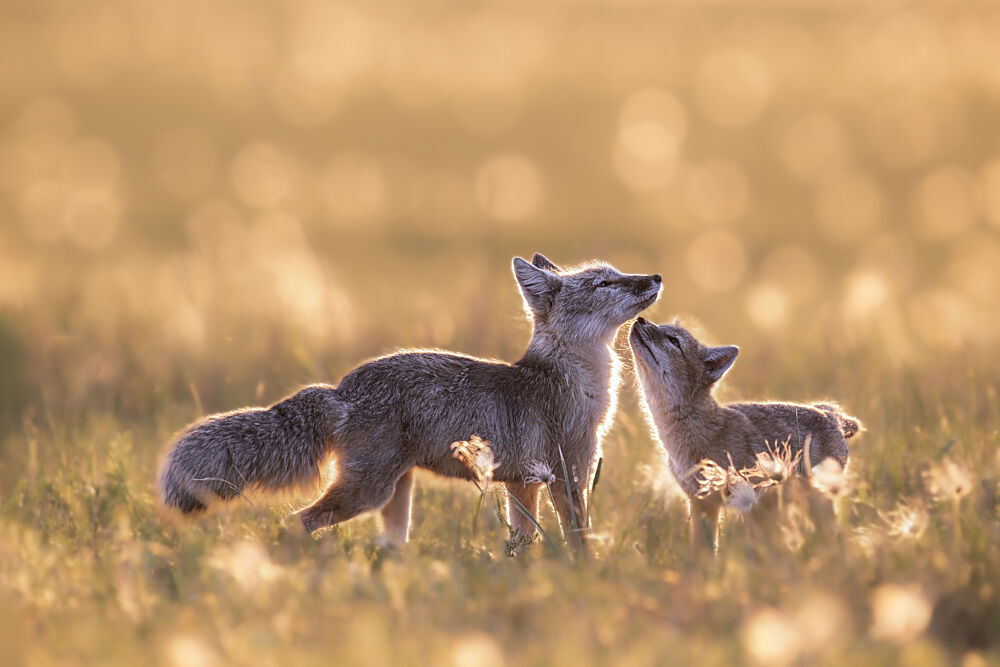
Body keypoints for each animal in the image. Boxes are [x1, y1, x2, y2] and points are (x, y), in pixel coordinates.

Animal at [159, 254, 662, 548]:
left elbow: (522, 546)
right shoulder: (567, 477)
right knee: (294, 523)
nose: (655, 275)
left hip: (394, 499)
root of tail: (342, 389)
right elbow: (578, 543)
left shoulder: (521, 485)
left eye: (618, 275)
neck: (573, 380)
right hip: (367, 493)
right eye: (605, 284)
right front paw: (584, 582)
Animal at [628, 317, 862, 548]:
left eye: (674, 341)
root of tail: (829, 412)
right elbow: (703, 552)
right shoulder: (702, 503)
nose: (640, 319)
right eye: (661, 326)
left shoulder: (753, 502)